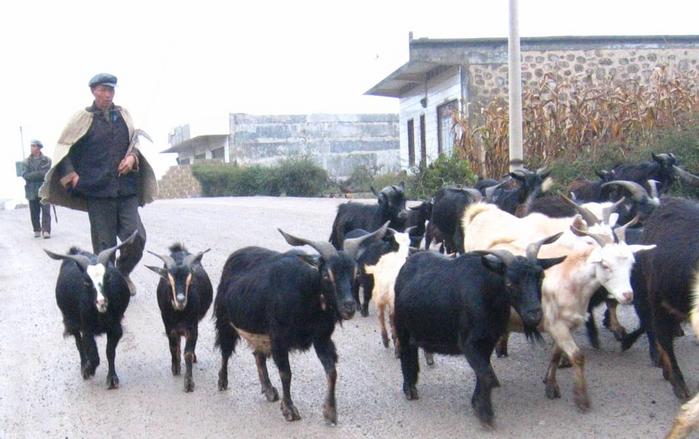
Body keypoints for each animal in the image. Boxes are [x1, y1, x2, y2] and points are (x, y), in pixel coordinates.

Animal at [44, 232, 137, 390]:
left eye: (107, 278)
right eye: (86, 282)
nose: (102, 302)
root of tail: (75, 251)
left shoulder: (115, 328)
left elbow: (110, 352)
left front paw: (112, 379)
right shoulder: (86, 328)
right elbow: (92, 354)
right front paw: (88, 369)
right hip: (71, 321)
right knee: (79, 343)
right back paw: (84, 367)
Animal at [146, 246, 212, 394]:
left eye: (190, 280)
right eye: (169, 281)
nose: (181, 300)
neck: (179, 314)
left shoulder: (192, 327)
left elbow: (188, 353)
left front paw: (188, 383)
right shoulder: (169, 327)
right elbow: (173, 346)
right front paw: (175, 368)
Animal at [215, 230, 370, 422]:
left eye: (356, 274)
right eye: (326, 275)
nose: (349, 306)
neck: (308, 292)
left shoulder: (322, 337)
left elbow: (332, 371)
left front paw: (330, 411)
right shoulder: (279, 338)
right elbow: (286, 373)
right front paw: (289, 409)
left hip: (260, 331)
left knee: (258, 355)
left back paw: (269, 390)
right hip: (225, 320)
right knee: (225, 350)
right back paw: (222, 381)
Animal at [392, 237, 568, 426]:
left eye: (541, 277)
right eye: (509, 282)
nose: (534, 314)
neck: (488, 293)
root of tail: (407, 264)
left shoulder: (488, 341)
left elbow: (484, 372)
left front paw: (477, 403)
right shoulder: (469, 343)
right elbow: (486, 375)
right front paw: (485, 413)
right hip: (402, 327)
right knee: (406, 352)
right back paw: (409, 389)